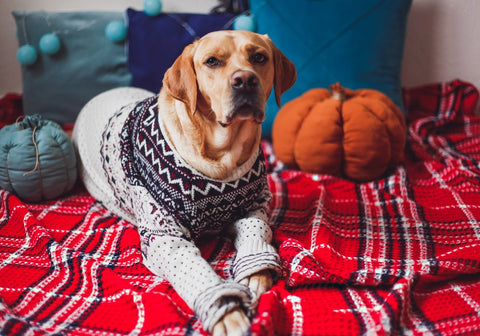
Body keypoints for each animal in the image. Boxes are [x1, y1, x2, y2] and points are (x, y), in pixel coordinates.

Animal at [72, 30, 296, 334]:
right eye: (212, 61)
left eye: (259, 57)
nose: (245, 80)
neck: (221, 163)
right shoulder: (164, 237)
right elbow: (195, 270)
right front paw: (227, 312)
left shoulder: (254, 208)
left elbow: (257, 232)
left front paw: (257, 272)